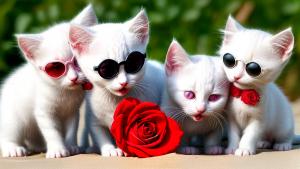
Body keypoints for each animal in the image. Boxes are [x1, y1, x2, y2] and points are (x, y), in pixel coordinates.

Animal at [0, 4, 97, 158]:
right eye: (56, 67)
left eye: (77, 61)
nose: (73, 78)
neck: (64, 93)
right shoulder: (44, 112)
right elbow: (52, 132)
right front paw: (57, 149)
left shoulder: (73, 111)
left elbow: (72, 130)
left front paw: (71, 146)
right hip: (13, 118)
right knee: (7, 135)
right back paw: (13, 148)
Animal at [68, 9, 164, 157]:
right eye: (106, 69)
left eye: (134, 63)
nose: (123, 82)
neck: (115, 101)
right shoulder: (93, 119)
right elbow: (100, 134)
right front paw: (109, 149)